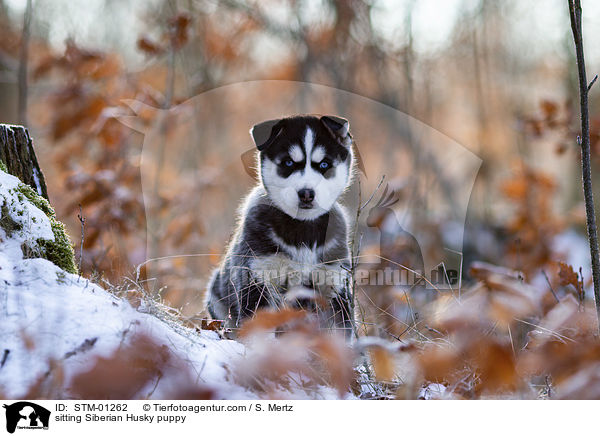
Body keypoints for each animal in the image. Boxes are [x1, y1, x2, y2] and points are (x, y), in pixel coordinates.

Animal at [207, 114, 356, 336]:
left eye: (324, 165)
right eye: (288, 162)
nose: (306, 193)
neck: (302, 228)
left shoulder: (334, 281)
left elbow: (341, 333)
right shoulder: (258, 275)